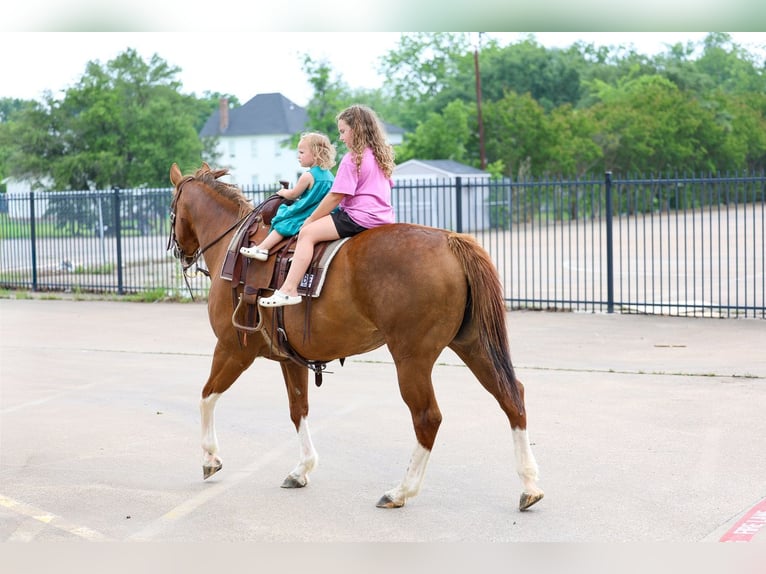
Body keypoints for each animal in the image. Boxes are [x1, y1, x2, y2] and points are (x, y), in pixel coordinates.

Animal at [168, 162, 544, 511]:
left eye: (172, 210)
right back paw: (528, 484)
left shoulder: (233, 349)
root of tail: (451, 242)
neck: (235, 247)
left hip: (412, 359)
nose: (180, 253)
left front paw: (210, 457)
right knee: (511, 397)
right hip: (474, 344)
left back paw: (401, 490)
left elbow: (206, 396)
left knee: (428, 418)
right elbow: (298, 409)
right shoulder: (291, 359)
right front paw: (302, 468)